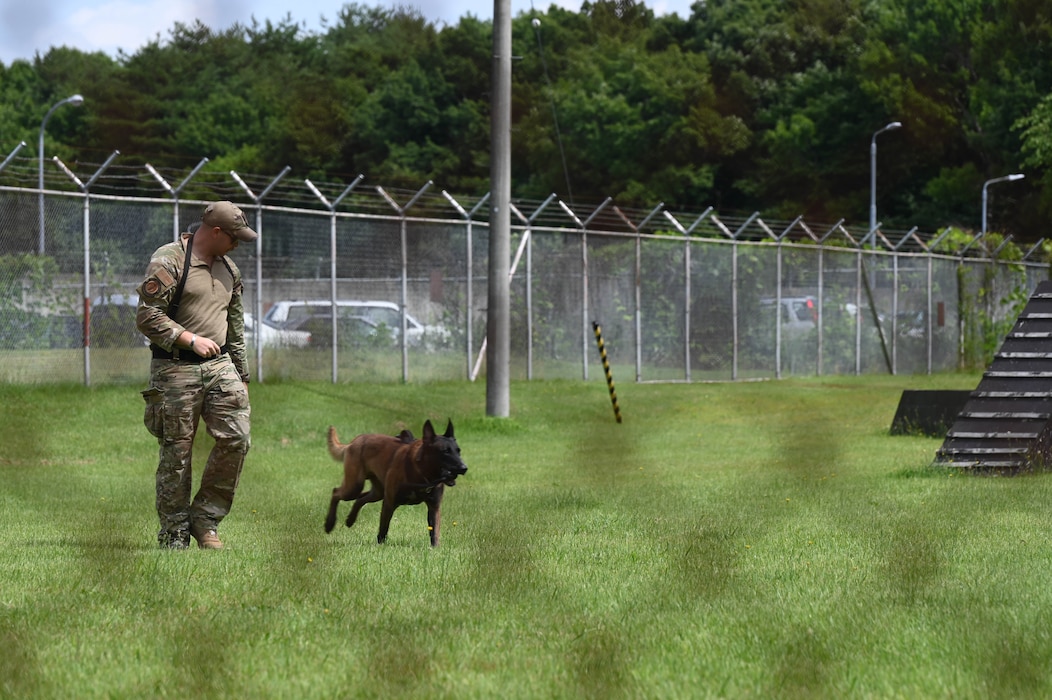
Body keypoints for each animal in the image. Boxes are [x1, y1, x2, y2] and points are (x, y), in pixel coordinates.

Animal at [321, 421, 467, 547]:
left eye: (458, 451)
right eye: (445, 451)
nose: (464, 468)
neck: (420, 472)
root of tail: (354, 442)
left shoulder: (434, 507)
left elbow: (434, 531)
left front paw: (435, 548)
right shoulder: (389, 503)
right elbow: (383, 528)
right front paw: (380, 545)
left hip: (378, 492)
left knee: (360, 498)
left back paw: (350, 520)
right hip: (354, 486)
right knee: (336, 492)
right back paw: (329, 523)